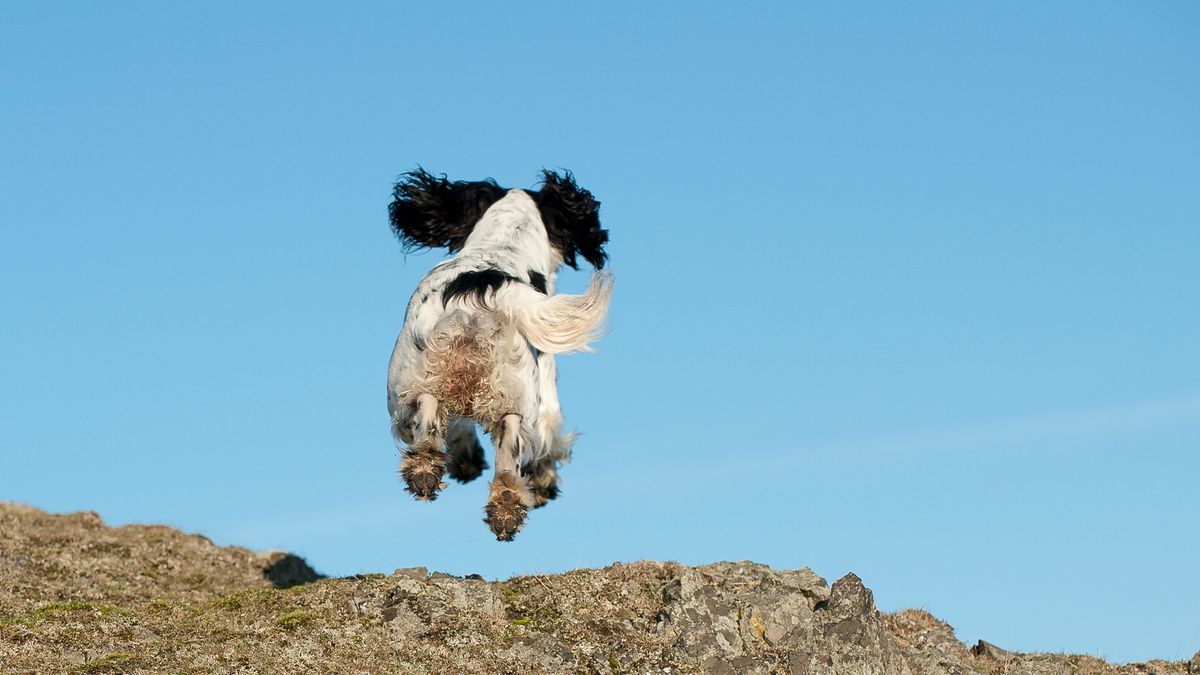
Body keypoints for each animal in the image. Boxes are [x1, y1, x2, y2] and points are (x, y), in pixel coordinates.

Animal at [386, 169, 609, 540]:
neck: (502, 243)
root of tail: (486, 287)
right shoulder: (547, 388)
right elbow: (550, 440)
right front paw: (544, 481)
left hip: (415, 379)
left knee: (432, 417)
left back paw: (433, 474)